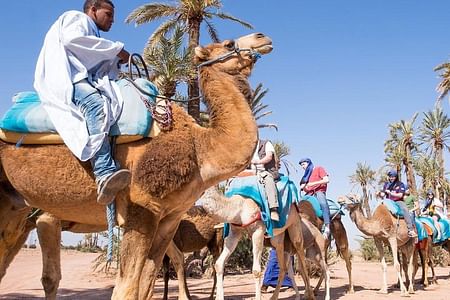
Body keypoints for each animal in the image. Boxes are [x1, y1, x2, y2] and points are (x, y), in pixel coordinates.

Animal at [0, 33, 272, 300]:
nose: (262, 37)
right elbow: (125, 289)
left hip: (15, 207)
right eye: (228, 43)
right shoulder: (140, 210)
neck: (199, 148)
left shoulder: (168, 220)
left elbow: (146, 285)